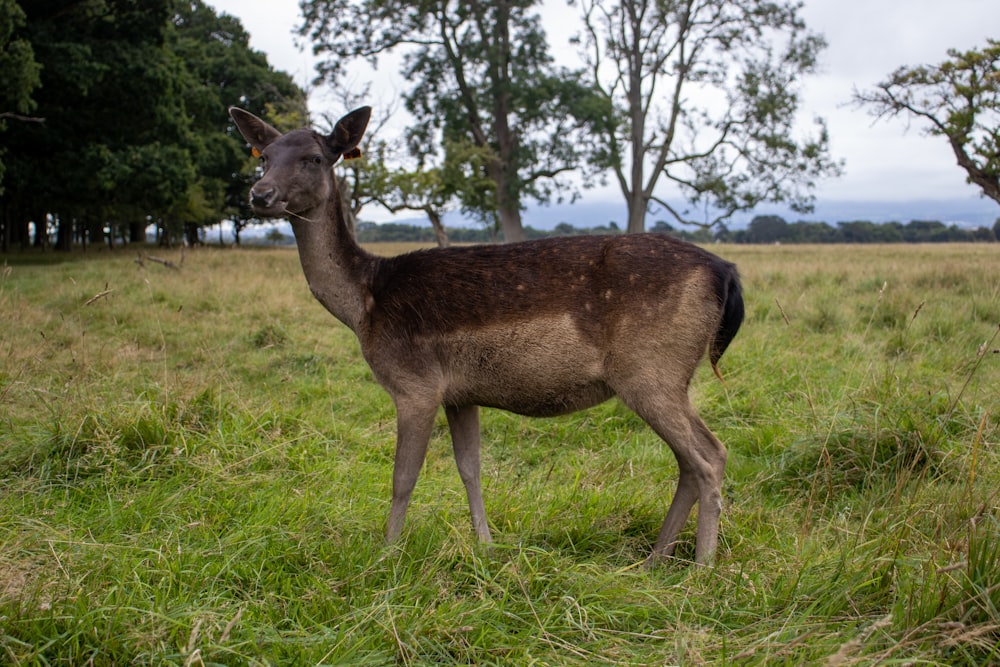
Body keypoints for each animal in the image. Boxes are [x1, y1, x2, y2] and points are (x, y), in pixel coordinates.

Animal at [229, 107, 744, 568]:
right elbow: (470, 468)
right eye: (264, 155)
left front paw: (386, 555)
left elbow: (403, 476)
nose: (260, 193)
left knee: (710, 456)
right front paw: (486, 546)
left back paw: (702, 567)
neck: (363, 304)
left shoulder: (415, 385)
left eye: (315, 157)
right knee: (690, 459)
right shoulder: (460, 394)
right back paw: (655, 559)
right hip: (670, 376)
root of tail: (726, 272)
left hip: (651, 370)